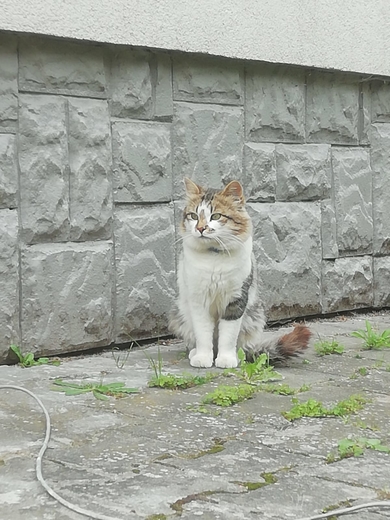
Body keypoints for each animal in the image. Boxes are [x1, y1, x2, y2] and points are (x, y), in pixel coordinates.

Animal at [169, 179, 312, 370]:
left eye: (216, 216)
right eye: (193, 216)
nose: (200, 228)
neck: (214, 258)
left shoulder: (236, 299)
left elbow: (228, 336)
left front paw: (226, 359)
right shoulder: (198, 299)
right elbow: (203, 334)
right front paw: (203, 358)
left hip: (255, 315)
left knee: (240, 345)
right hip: (179, 313)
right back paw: (195, 353)